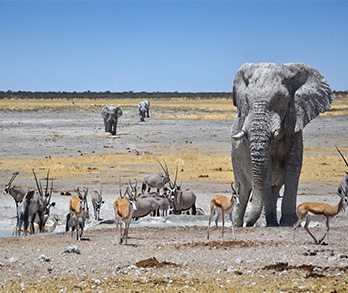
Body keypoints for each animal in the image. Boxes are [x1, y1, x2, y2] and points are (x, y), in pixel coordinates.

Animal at [230, 62, 334, 227]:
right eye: (246, 99)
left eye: (280, 98)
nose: (249, 224)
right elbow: (267, 168)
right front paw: (268, 224)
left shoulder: (295, 123)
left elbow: (293, 166)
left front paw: (289, 223)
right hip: (236, 158)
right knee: (244, 189)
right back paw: (238, 224)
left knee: (273, 188)